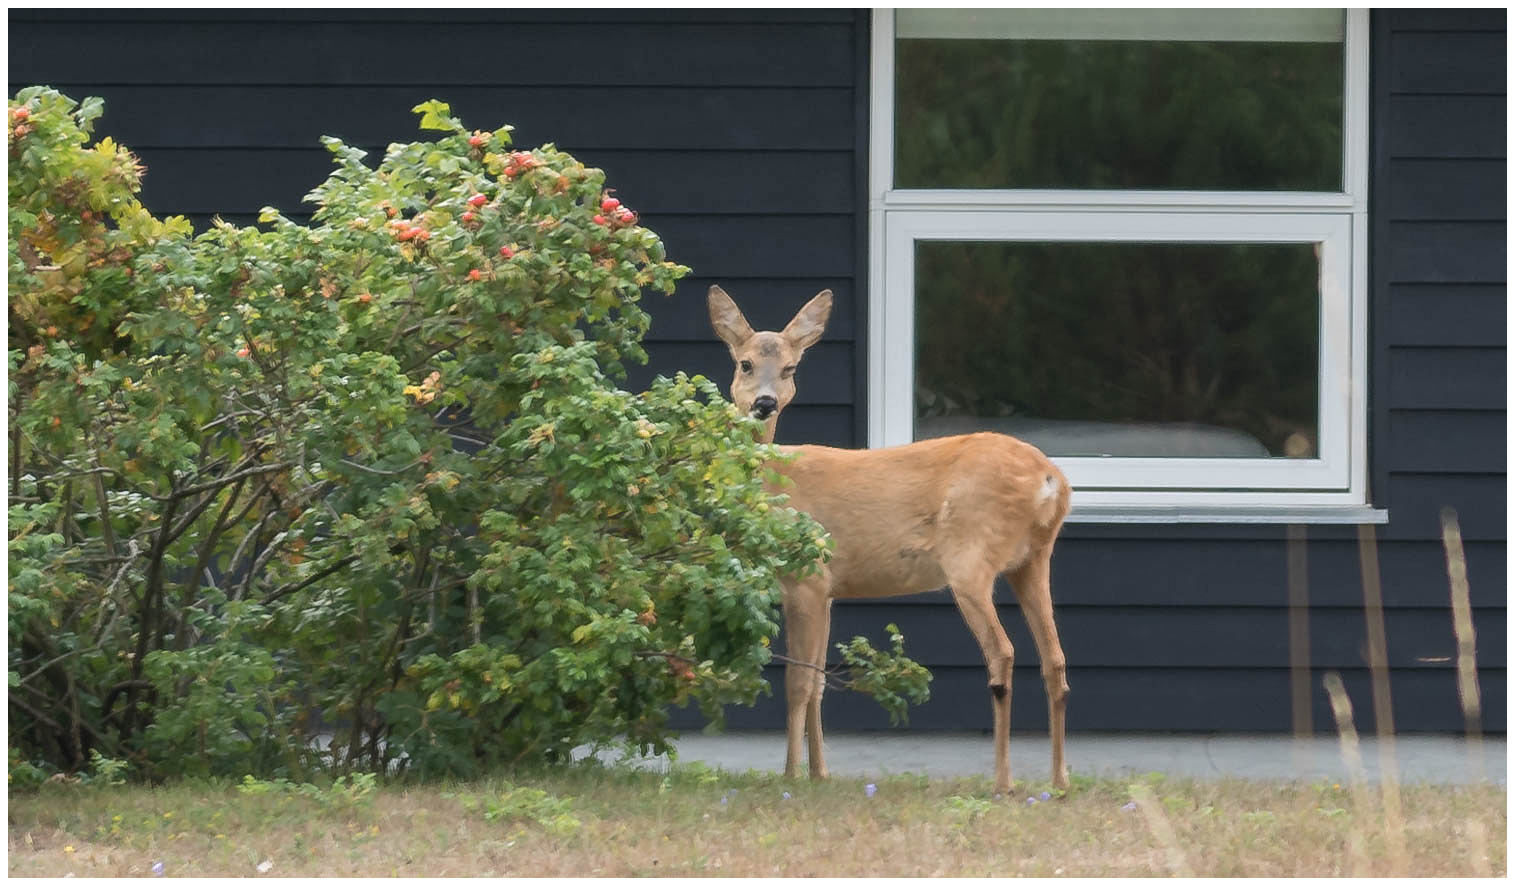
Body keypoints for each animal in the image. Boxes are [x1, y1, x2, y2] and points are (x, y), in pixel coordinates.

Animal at [705, 284, 1072, 793]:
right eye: (744, 363)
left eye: (789, 368)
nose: (764, 403)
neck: (772, 482)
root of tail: (1051, 480)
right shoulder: (828, 589)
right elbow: (819, 680)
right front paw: (821, 773)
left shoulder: (808, 577)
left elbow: (798, 682)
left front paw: (791, 776)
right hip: (1034, 559)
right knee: (1055, 659)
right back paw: (1059, 781)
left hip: (969, 558)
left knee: (1002, 653)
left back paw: (1003, 782)